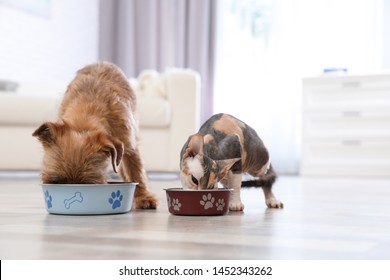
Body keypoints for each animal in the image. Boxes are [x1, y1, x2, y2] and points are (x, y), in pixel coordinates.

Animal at [32, 62, 157, 209]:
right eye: (55, 182)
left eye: (88, 184)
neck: (84, 120)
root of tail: (102, 62)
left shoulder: (129, 146)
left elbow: (136, 172)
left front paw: (144, 197)